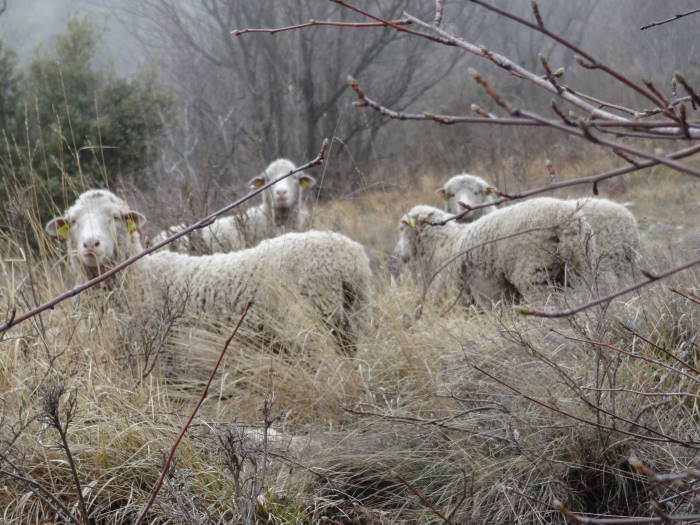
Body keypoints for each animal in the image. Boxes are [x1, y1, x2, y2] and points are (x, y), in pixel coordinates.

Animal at [45, 188, 372, 348]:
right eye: (72, 221)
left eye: (115, 217)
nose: (90, 244)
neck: (138, 277)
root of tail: (351, 255)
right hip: (351, 321)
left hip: (314, 323)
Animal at [394, 199, 596, 304]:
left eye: (402, 228)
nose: (398, 254)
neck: (441, 245)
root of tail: (568, 222)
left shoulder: (479, 290)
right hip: (580, 267)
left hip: (535, 272)